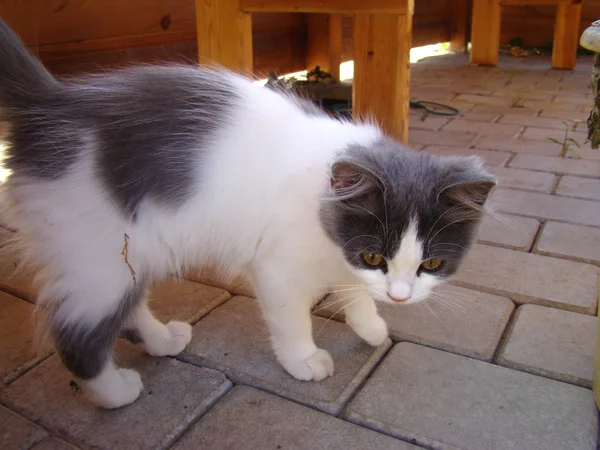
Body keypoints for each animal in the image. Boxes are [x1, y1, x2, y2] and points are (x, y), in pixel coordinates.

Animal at [0, 20, 496, 408]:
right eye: (376, 256)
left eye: (432, 263)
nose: (400, 297)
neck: (322, 197)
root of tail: (51, 106)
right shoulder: (276, 266)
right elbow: (293, 318)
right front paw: (304, 359)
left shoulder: (340, 255)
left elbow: (353, 290)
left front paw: (370, 325)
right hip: (96, 256)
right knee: (78, 332)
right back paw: (113, 392)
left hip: (131, 251)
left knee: (129, 305)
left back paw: (162, 341)